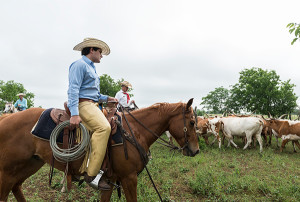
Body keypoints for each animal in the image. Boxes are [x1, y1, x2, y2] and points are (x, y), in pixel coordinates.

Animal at [0, 98, 199, 201]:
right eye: (191, 122)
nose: (196, 151)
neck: (135, 131)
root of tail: (5, 119)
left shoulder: (109, 181)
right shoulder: (129, 178)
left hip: (30, 164)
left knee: (17, 187)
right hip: (8, 172)